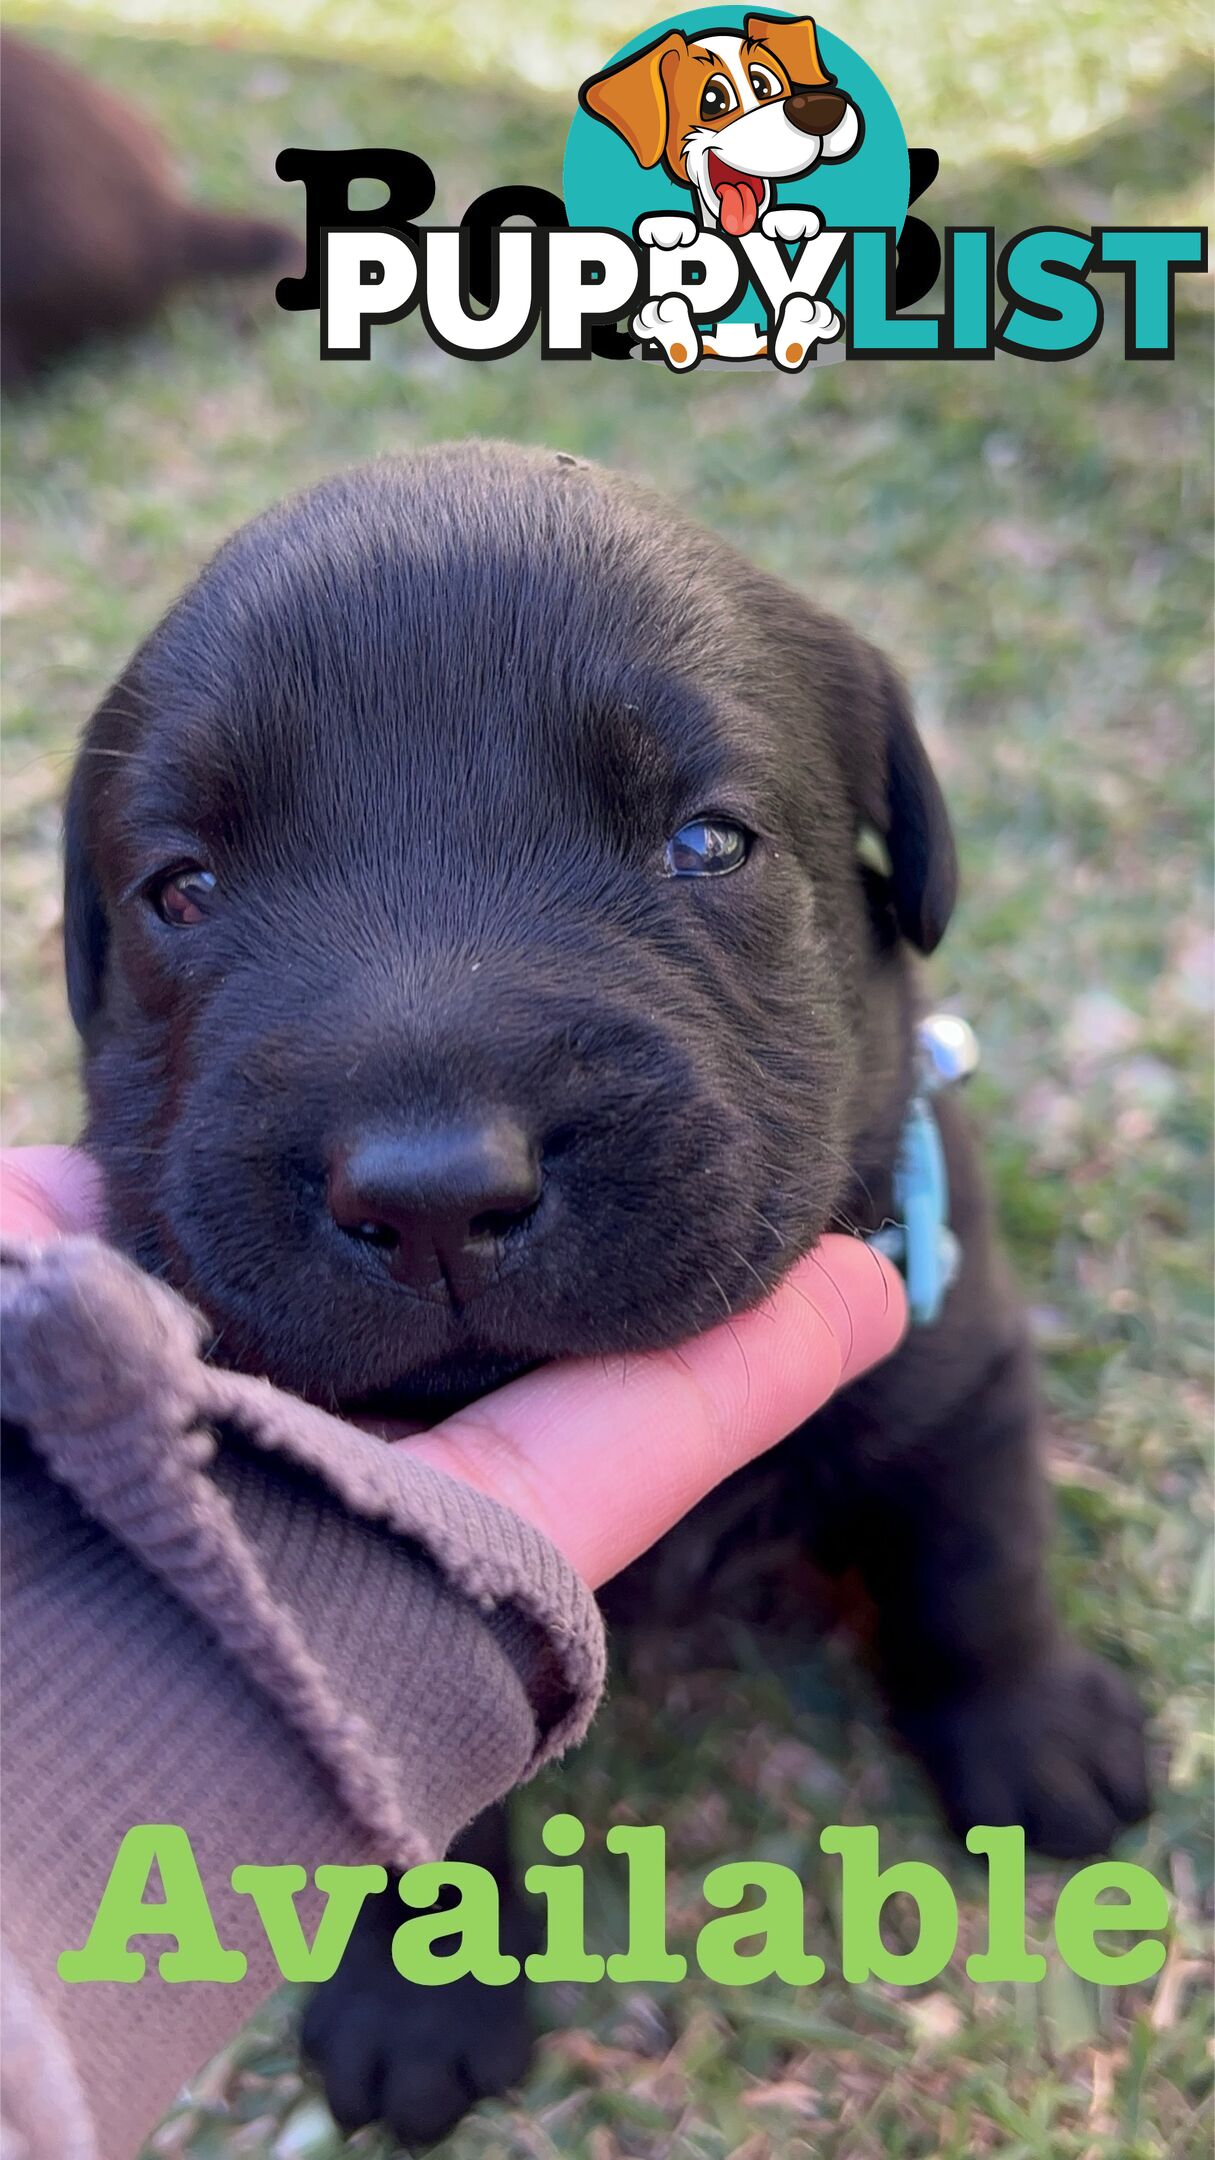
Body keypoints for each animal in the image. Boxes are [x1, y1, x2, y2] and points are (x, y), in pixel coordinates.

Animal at [66, 438, 1141, 2142]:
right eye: (183, 888)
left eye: (706, 843)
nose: (431, 1191)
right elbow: (408, 1805)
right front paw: (418, 1997)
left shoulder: (954, 1362)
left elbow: (981, 1570)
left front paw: (1034, 1739)